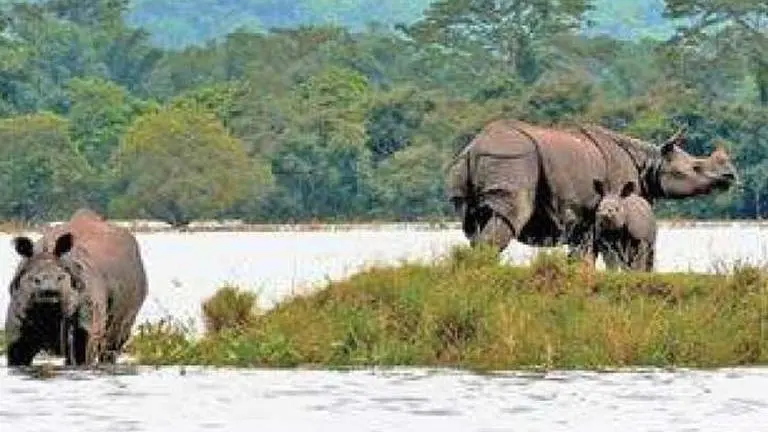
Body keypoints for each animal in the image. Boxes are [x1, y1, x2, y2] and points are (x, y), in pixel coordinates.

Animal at [5, 208, 148, 367]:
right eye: (34, 279)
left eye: (61, 277)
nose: (49, 292)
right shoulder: (17, 328)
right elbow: (17, 354)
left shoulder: (86, 328)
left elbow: (82, 353)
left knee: (112, 343)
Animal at [446, 119, 738, 265]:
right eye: (696, 167)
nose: (730, 176)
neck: (650, 163)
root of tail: (474, 148)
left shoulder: (585, 222)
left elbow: (580, 257)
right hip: (513, 158)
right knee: (509, 215)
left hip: (474, 163)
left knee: (474, 226)